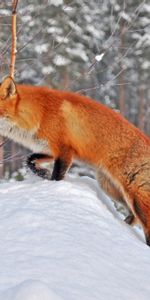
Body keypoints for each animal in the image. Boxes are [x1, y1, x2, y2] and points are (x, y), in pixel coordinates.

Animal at [0, 77, 150, 246]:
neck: (40, 113)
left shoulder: (65, 151)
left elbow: (57, 176)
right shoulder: (50, 150)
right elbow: (30, 160)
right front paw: (43, 173)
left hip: (137, 199)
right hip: (110, 188)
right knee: (133, 217)